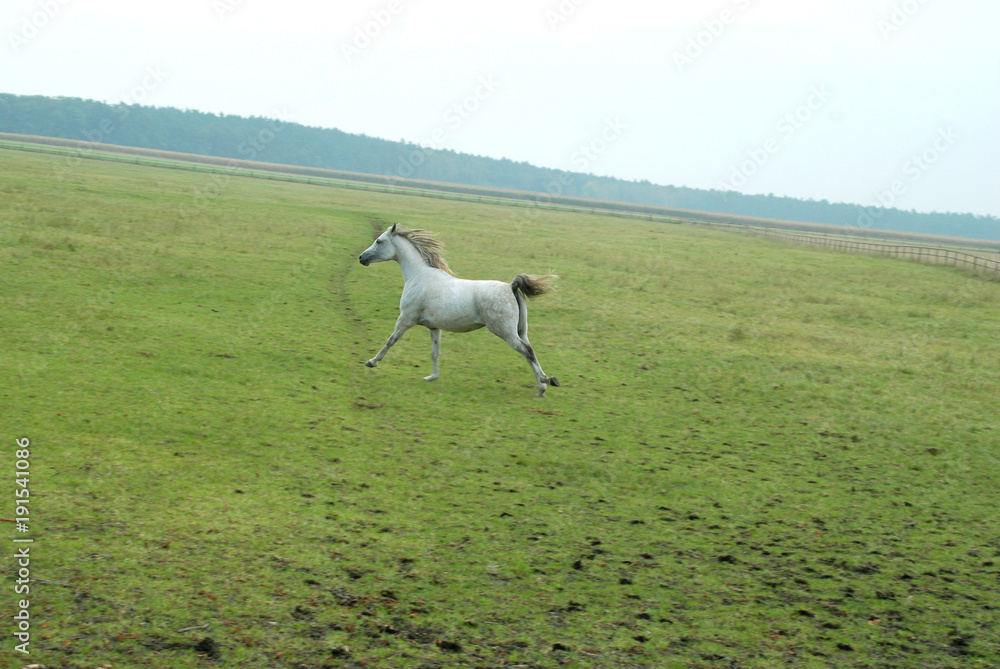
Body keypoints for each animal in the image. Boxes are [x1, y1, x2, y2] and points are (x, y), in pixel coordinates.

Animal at [358, 223, 560, 397]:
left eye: (379, 241)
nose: (362, 258)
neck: (419, 276)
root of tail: (511, 286)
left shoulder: (405, 319)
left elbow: (390, 340)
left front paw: (371, 362)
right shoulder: (434, 327)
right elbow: (435, 352)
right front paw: (432, 377)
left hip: (506, 332)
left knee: (527, 351)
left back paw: (547, 381)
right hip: (521, 331)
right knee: (530, 352)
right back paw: (542, 387)